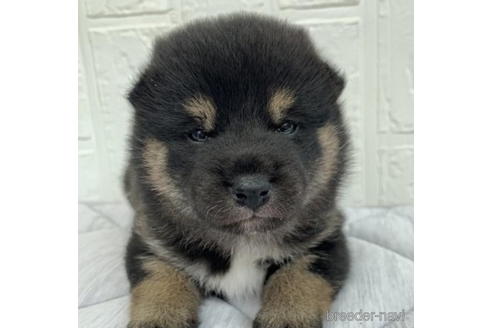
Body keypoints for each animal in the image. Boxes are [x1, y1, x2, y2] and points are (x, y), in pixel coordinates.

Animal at [125, 12, 352, 328]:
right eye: (198, 134)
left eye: (286, 126)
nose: (252, 190)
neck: (244, 243)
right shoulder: (150, 239)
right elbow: (159, 279)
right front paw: (161, 317)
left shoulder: (326, 237)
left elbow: (299, 276)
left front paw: (285, 316)